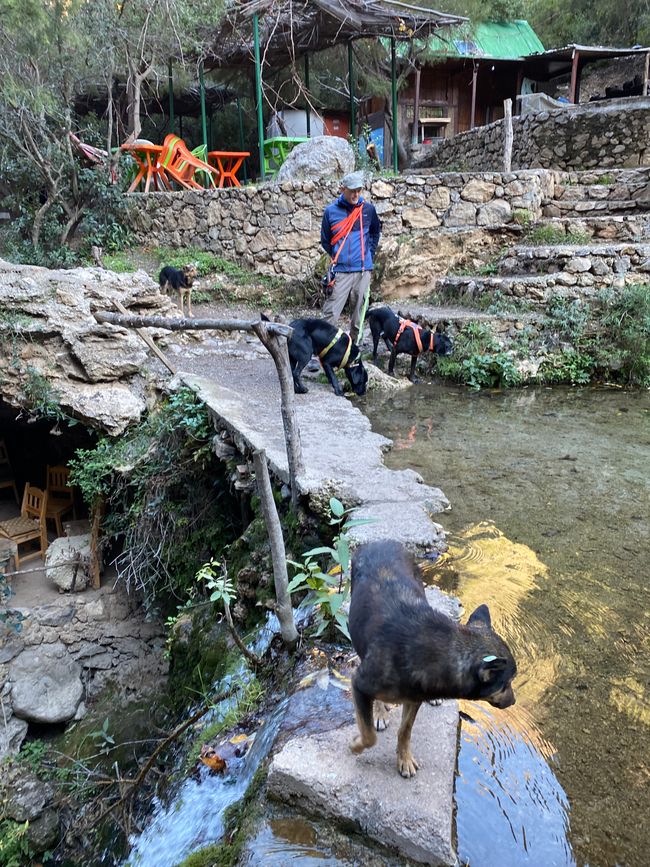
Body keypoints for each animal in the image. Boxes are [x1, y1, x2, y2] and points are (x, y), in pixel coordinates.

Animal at [350, 544, 516, 780]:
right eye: (507, 683)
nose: (513, 702)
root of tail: (380, 542)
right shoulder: (359, 684)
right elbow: (369, 735)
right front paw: (357, 745)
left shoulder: (414, 699)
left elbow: (405, 730)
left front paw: (404, 759)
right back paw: (380, 711)